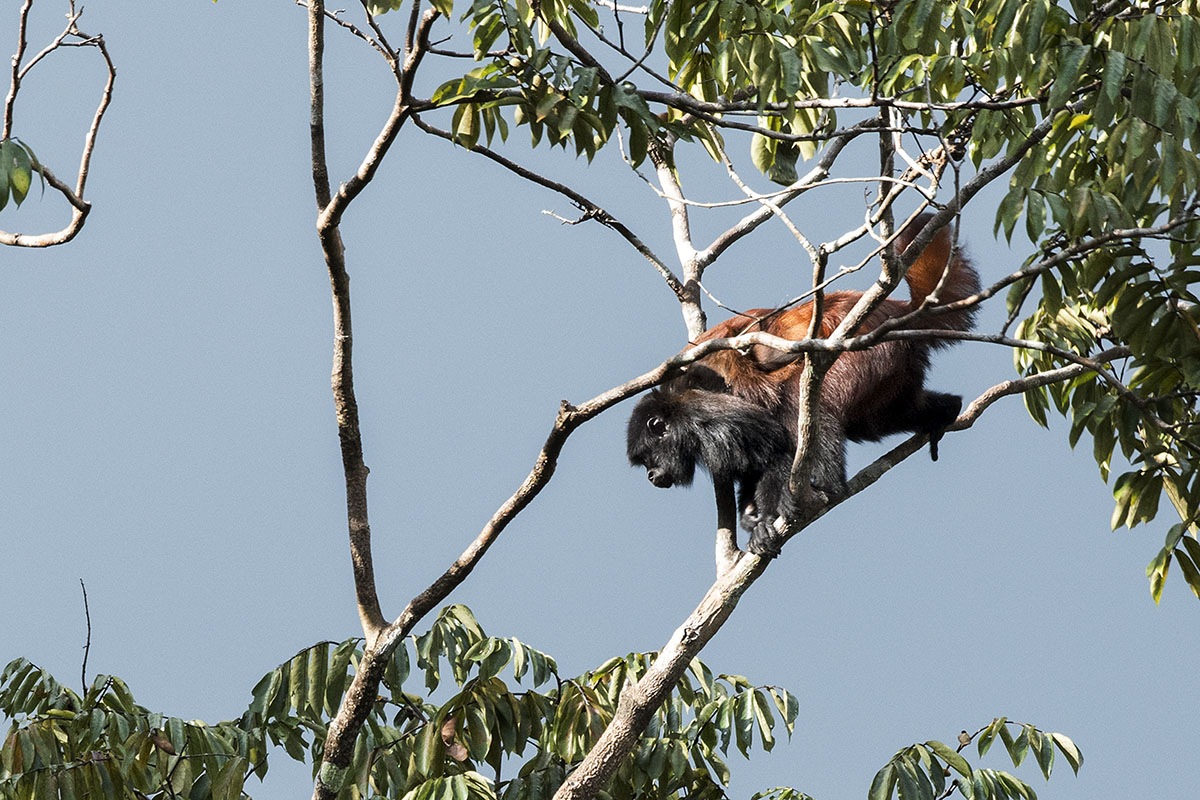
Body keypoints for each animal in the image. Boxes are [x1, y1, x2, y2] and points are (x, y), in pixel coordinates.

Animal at [624, 212, 979, 556]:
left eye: (648, 458)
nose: (651, 476)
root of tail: (898, 312)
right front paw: (751, 518)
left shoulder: (705, 414)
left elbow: (777, 448)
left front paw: (766, 517)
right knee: (879, 420)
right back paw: (944, 411)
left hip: (864, 352)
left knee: (805, 404)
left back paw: (828, 484)